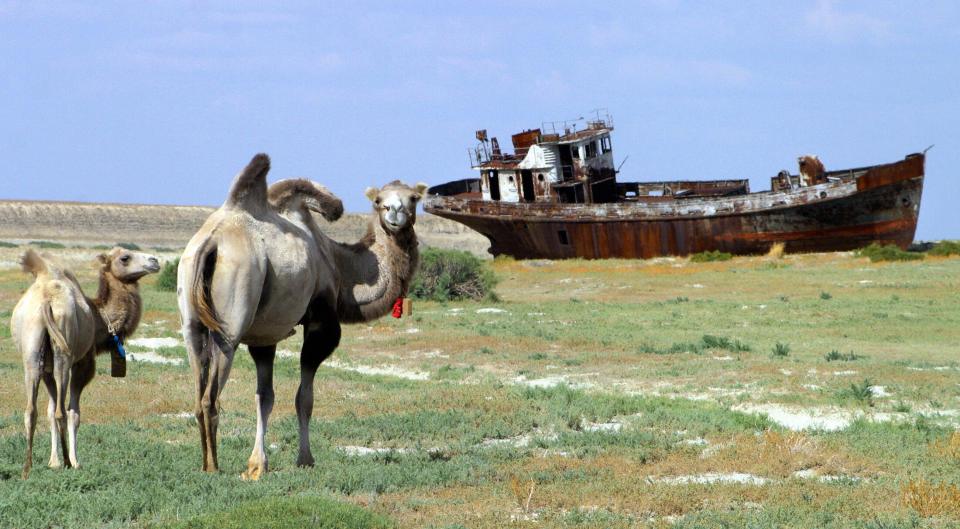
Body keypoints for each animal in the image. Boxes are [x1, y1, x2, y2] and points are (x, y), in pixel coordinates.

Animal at [13, 245, 160, 476]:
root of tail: (46, 300)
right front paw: (74, 461)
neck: (99, 317)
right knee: (61, 412)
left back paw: (27, 468)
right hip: (64, 354)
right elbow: (74, 413)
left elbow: (47, 410)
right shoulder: (84, 363)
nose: (154, 261)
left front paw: (52, 462)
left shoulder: (46, 369)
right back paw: (67, 461)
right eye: (125, 258)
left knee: (31, 410)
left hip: (31, 353)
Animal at [178, 153, 426, 478]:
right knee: (210, 397)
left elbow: (264, 397)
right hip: (230, 323)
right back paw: (213, 467)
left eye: (414, 198)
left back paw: (204, 462)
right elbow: (304, 398)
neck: (337, 264)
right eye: (378, 200)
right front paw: (305, 459)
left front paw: (257, 465)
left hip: (191, 321)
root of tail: (211, 242)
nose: (395, 211)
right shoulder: (321, 321)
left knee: (197, 391)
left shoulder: (264, 334)